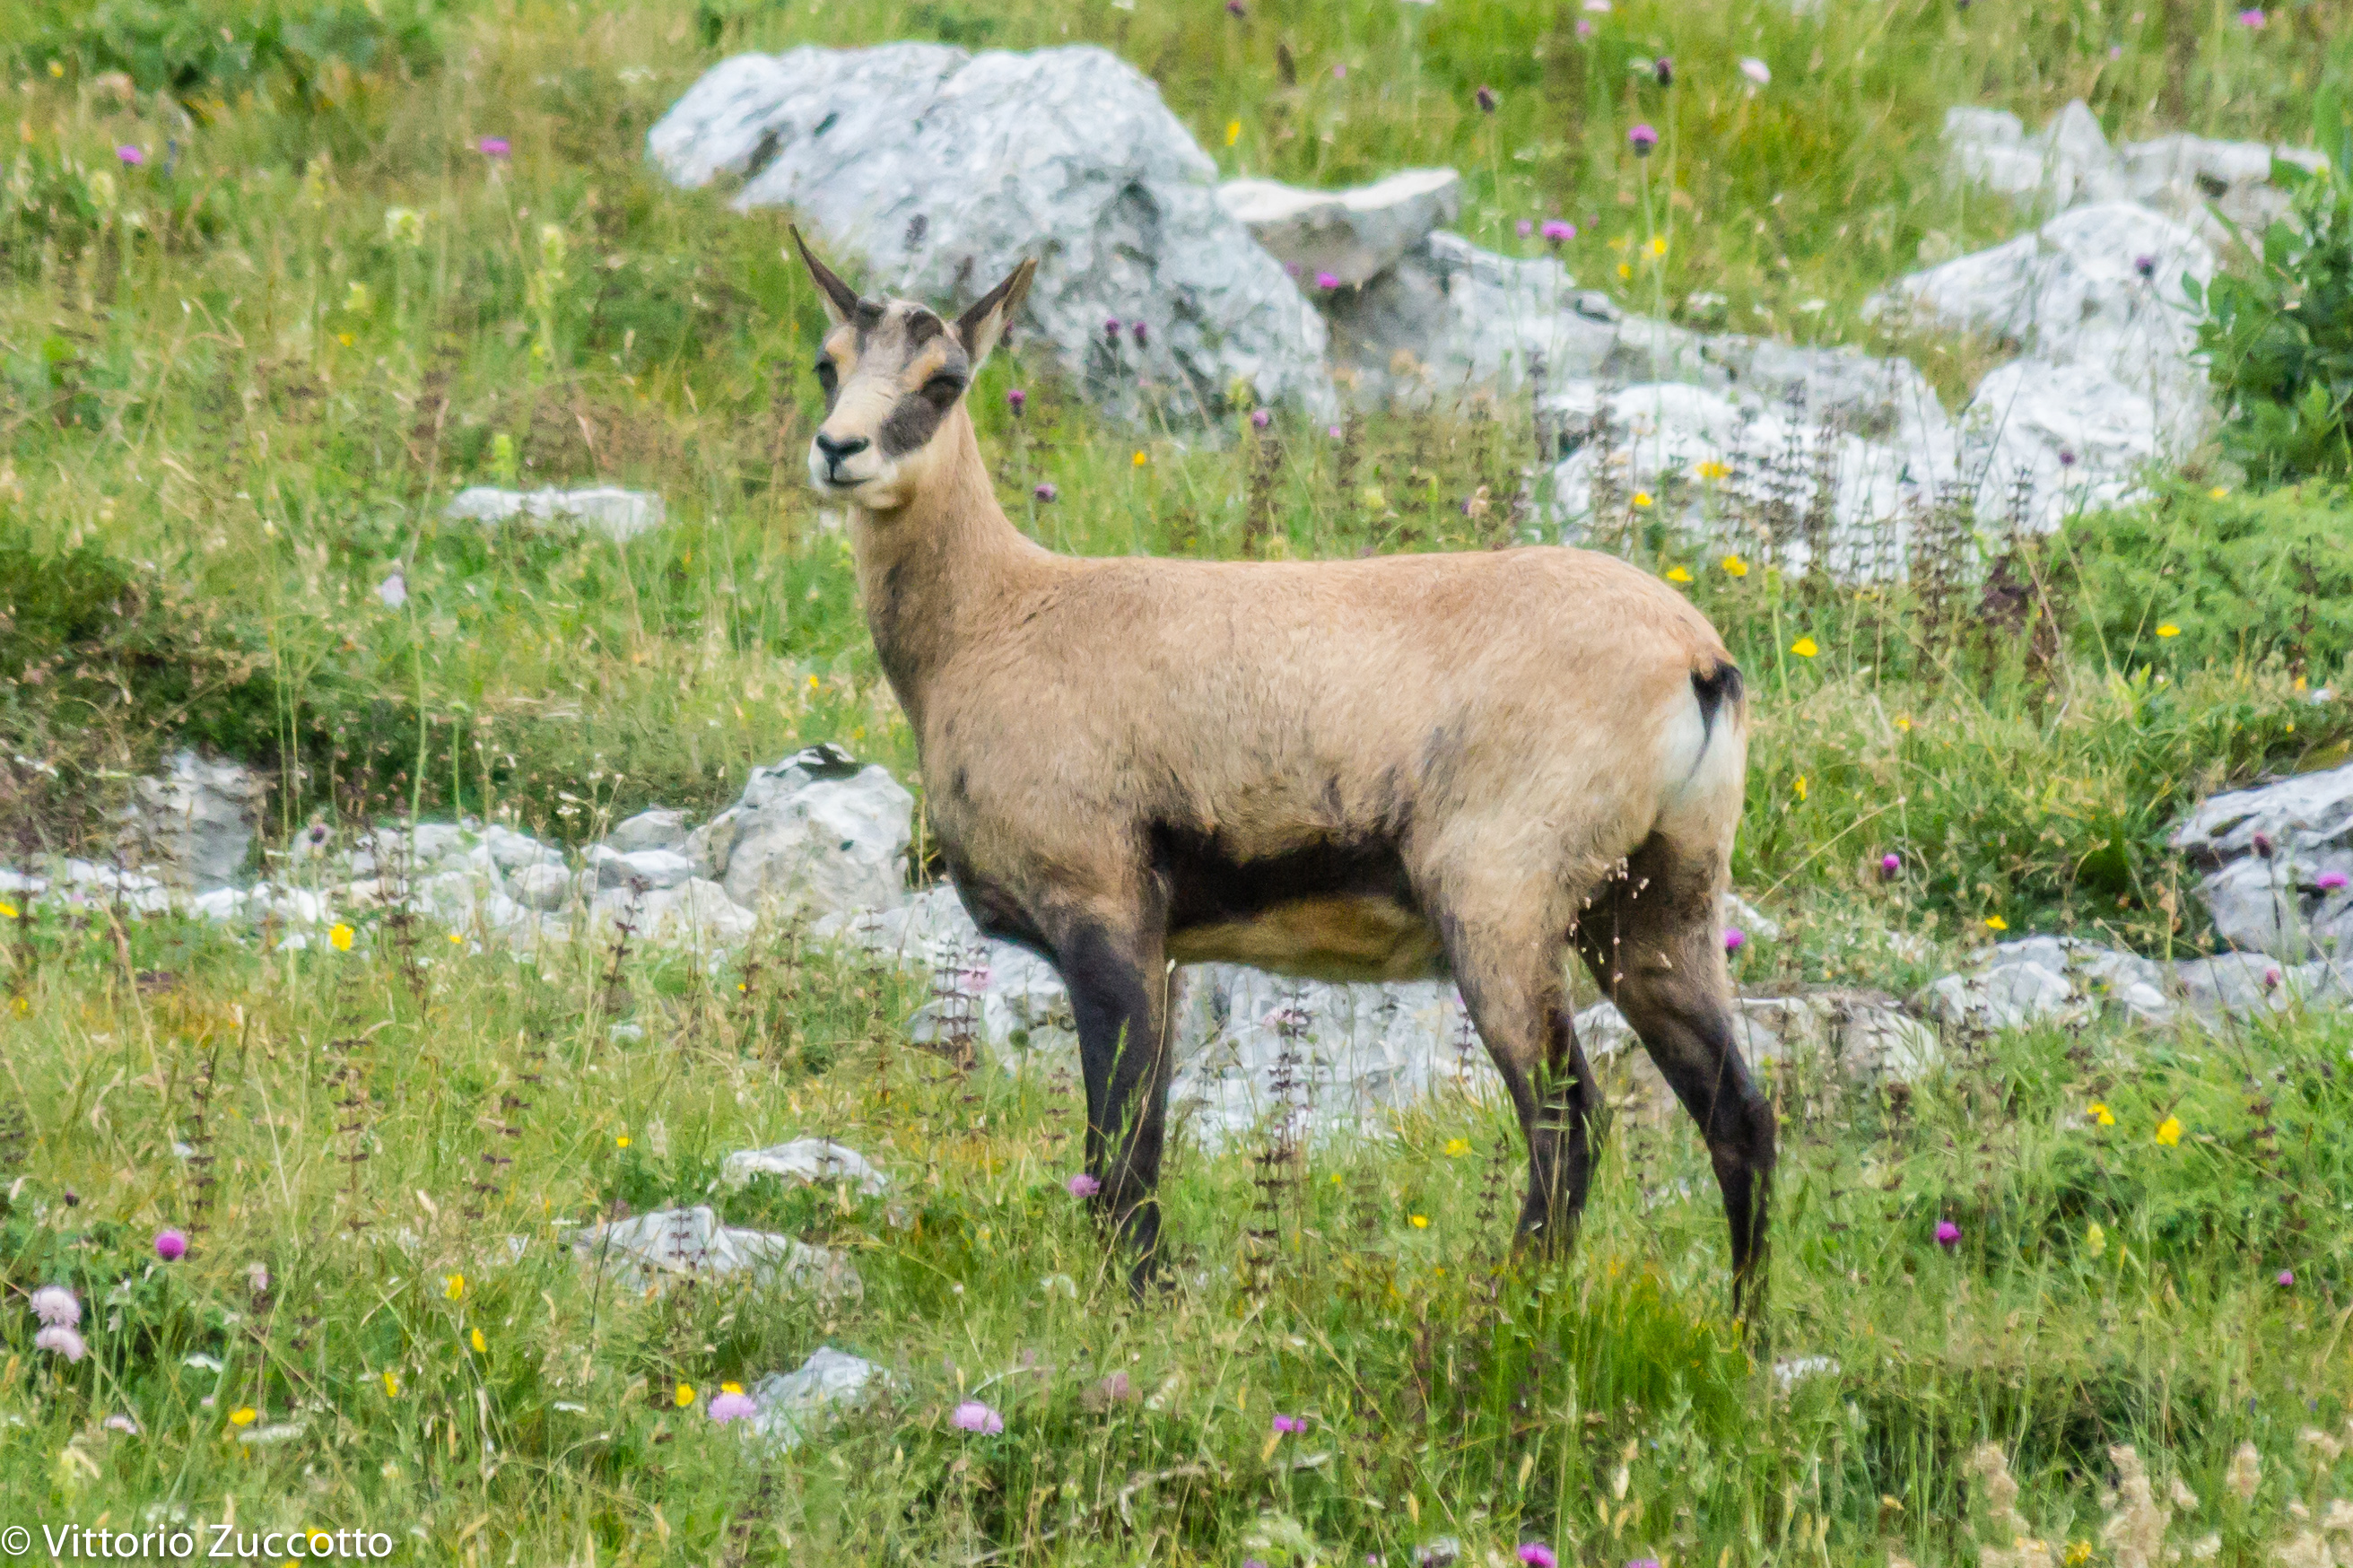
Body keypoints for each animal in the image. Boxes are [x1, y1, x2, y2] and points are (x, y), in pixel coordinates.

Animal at [790, 230, 1774, 1310]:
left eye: (945, 379)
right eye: (828, 363)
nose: (838, 451)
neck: (996, 618)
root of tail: (1697, 661)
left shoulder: (1104, 908)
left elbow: (1120, 1143)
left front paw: (1132, 1302)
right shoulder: (1167, 952)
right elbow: (1138, 1138)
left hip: (1500, 902)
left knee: (1567, 1115)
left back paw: (1505, 1306)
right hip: (1660, 902)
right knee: (1738, 1113)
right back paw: (1742, 1325)